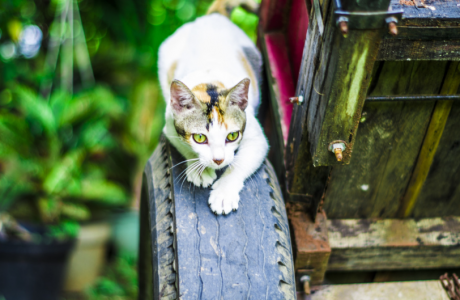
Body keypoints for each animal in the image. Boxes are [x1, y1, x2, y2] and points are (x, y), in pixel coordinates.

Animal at [158, 0, 268, 216]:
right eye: (200, 138)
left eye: (232, 136)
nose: (218, 160)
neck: (208, 81)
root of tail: (210, 17)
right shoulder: (169, 125)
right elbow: (184, 146)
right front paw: (198, 169)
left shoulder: (256, 136)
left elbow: (240, 162)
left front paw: (224, 192)